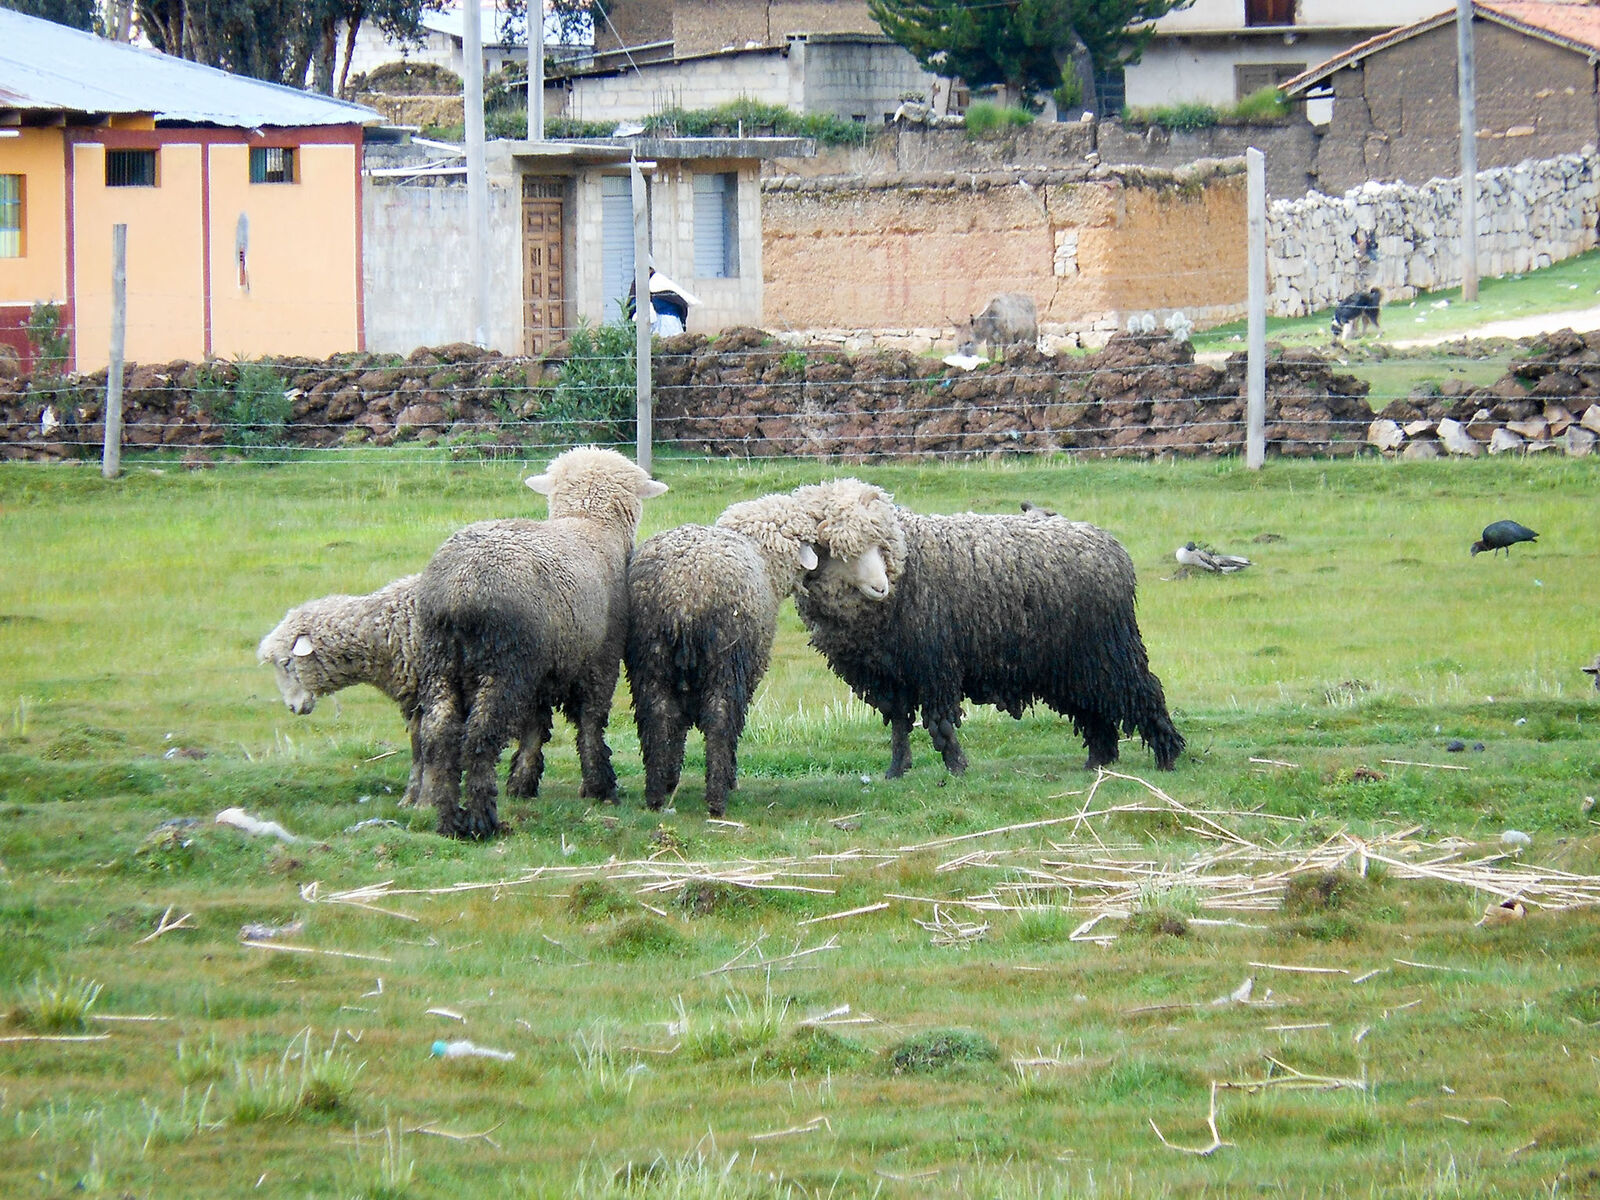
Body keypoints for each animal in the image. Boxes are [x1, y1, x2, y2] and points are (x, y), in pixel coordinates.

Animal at [256, 576, 546, 807]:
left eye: (286, 663)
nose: (293, 707)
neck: (386, 630)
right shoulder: (414, 700)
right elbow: (418, 747)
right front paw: (412, 796)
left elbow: (425, 748)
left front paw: (420, 797)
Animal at [415, 446, 668, 839]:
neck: (588, 523)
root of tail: (459, 587)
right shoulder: (601, 660)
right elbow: (591, 723)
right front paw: (600, 787)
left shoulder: (541, 670)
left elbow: (535, 728)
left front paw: (522, 782)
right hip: (504, 665)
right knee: (479, 739)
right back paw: (482, 820)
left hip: (439, 662)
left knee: (439, 737)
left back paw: (447, 820)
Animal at [624, 479, 898, 817]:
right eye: (843, 553)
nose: (881, 587)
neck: (763, 556)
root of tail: (682, 596)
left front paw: (671, 779)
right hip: (727, 661)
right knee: (720, 720)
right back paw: (718, 796)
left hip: (650, 658)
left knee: (657, 716)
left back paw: (656, 793)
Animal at [793, 503, 1185, 778]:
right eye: (840, 551)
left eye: (880, 546)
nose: (880, 587)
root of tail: (1111, 546)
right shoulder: (889, 676)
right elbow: (900, 725)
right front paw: (896, 770)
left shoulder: (935, 664)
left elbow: (938, 720)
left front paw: (956, 766)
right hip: (1075, 662)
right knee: (1094, 705)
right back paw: (1099, 760)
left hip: (1109, 648)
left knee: (1144, 690)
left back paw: (1167, 755)